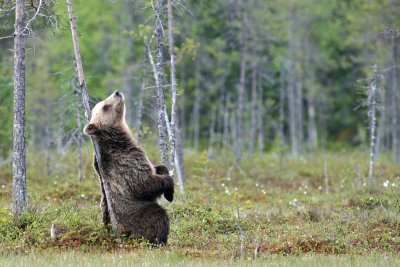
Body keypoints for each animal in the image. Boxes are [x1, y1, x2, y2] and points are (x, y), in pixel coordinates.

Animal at [82, 91, 173, 246]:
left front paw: (168, 190)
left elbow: (158, 168)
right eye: (105, 105)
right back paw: (159, 241)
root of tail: (115, 235)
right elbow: (142, 184)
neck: (119, 141)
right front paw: (169, 187)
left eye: (103, 101)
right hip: (135, 216)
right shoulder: (124, 162)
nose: (117, 93)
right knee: (157, 216)